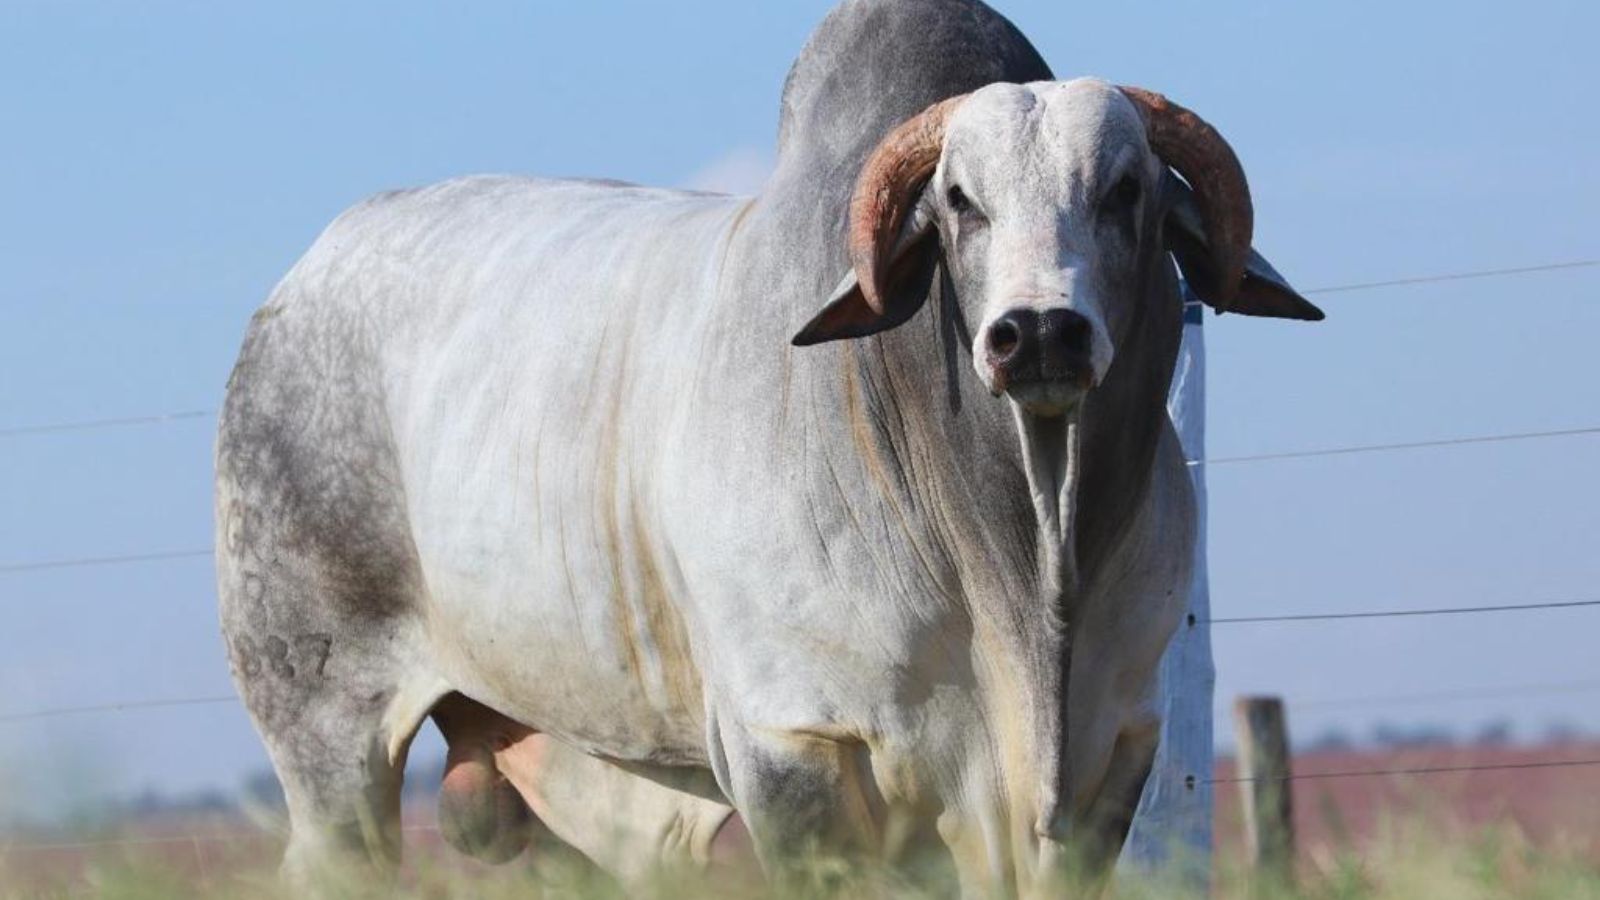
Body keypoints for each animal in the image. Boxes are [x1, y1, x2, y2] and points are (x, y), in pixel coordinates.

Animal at [219, 0, 1318, 883]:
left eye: (1126, 191)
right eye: (959, 201)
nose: (1039, 330)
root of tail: (300, 282)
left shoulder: (1111, 751)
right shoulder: (794, 749)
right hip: (326, 740)